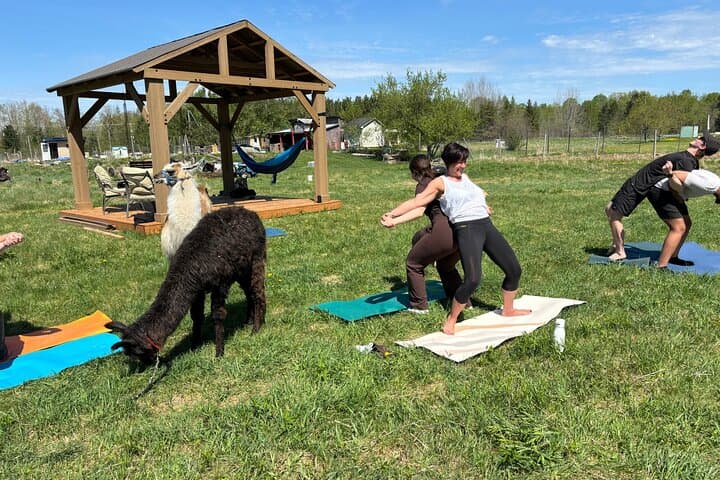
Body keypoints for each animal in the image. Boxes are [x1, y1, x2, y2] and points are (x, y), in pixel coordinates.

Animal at [106, 207, 266, 365]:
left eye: (137, 353)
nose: (148, 365)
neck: (191, 264)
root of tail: (250, 213)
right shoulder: (197, 290)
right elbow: (196, 316)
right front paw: (195, 347)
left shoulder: (220, 284)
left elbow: (218, 316)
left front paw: (219, 353)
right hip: (241, 270)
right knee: (249, 292)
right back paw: (249, 321)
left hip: (256, 259)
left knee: (258, 292)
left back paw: (256, 329)